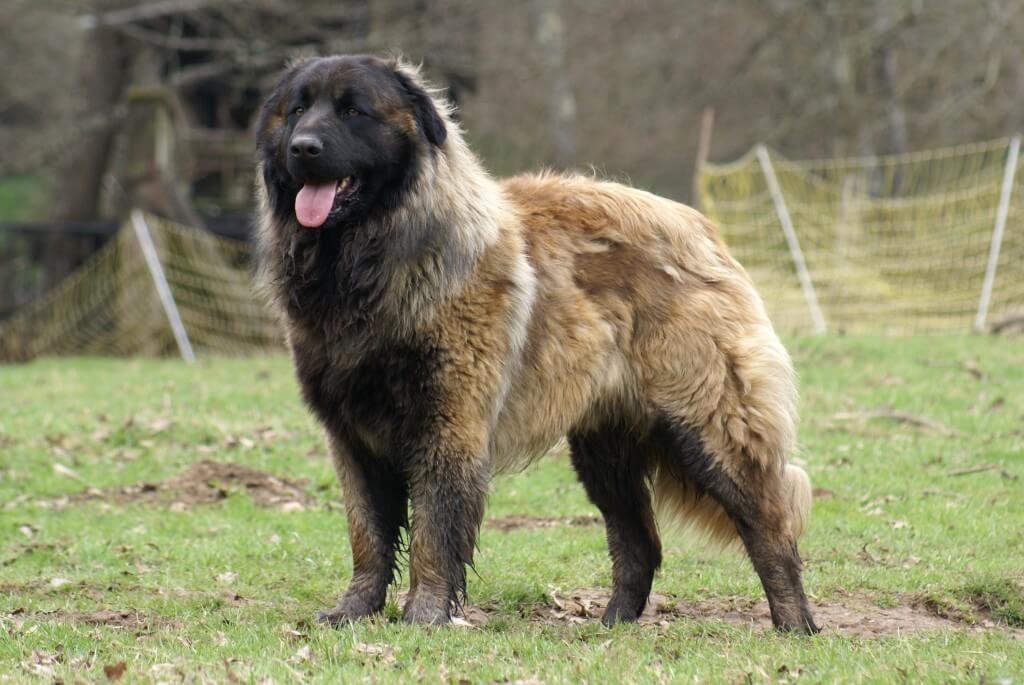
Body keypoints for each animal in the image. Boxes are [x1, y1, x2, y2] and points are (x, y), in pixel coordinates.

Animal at [253, 53, 815, 630]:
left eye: (353, 111)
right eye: (297, 110)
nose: (303, 148)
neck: (369, 262)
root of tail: (700, 227)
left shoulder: (448, 425)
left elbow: (433, 530)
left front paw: (425, 614)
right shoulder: (353, 438)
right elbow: (367, 534)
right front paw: (355, 609)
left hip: (706, 428)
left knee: (770, 524)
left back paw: (795, 625)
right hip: (604, 450)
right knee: (639, 542)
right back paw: (612, 623)